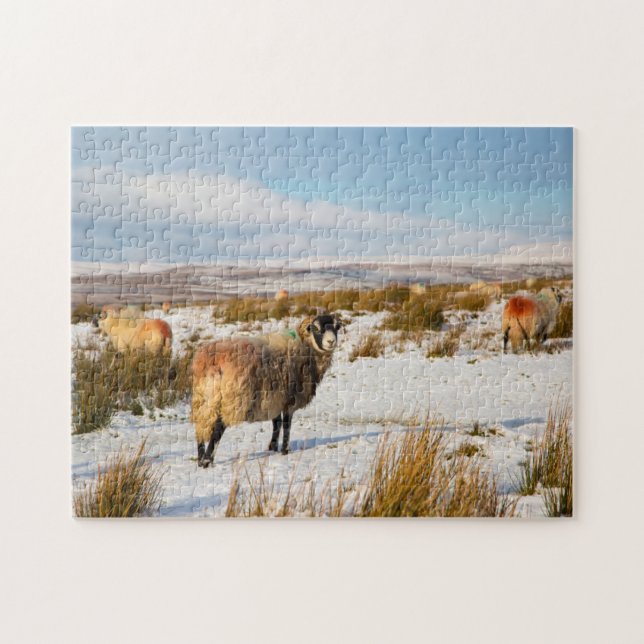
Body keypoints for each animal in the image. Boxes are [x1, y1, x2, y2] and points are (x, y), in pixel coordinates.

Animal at [191, 314, 341, 467]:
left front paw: (273, 447)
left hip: (203, 397)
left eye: (336, 327)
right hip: (233, 399)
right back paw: (207, 460)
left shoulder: (274, 397)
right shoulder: (289, 399)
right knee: (218, 428)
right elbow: (286, 424)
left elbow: (276, 422)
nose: (331, 341)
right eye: (316, 328)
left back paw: (200, 459)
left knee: (201, 426)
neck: (305, 347)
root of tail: (212, 361)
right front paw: (285, 450)